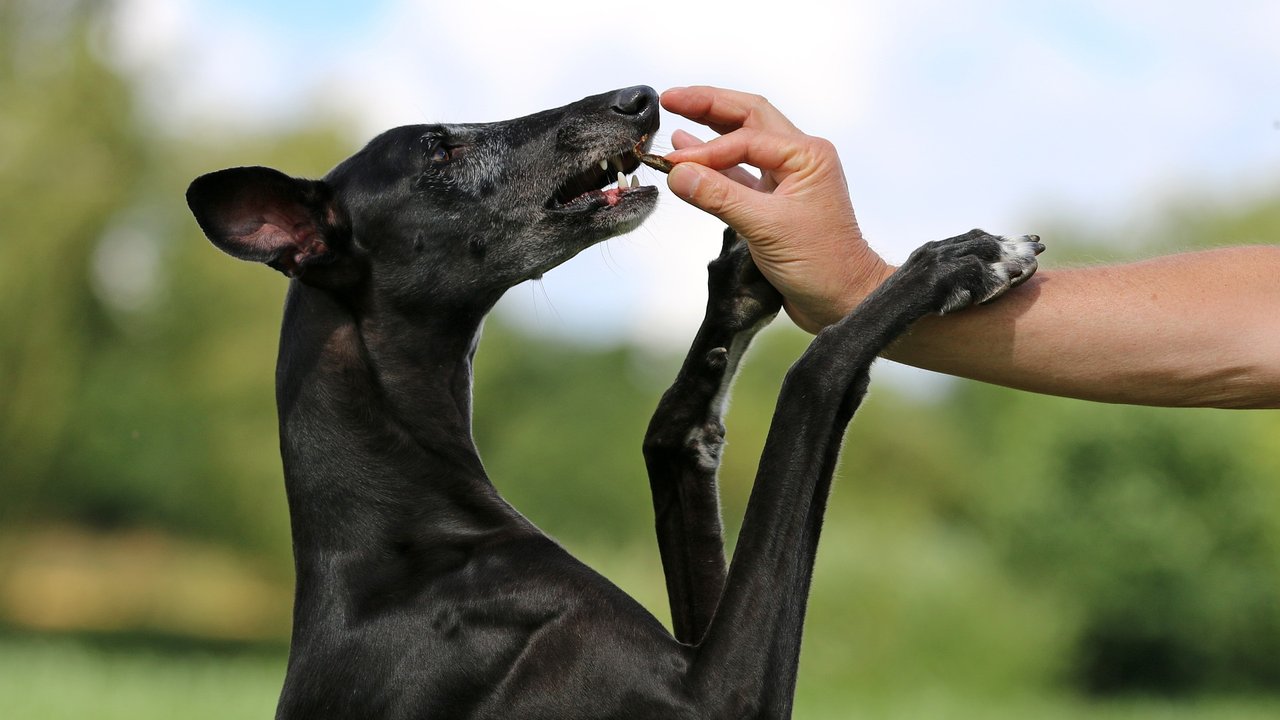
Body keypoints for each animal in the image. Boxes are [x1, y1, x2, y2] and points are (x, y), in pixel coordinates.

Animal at [185, 87, 1039, 712]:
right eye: (442, 148)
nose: (638, 97)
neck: (407, 529)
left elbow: (669, 433)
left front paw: (742, 286)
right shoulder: (716, 695)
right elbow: (815, 377)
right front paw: (958, 262)